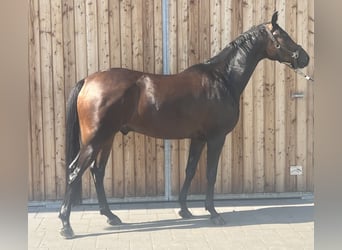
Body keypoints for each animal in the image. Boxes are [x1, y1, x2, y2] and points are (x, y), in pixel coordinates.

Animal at [58, 12, 310, 238]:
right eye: (282, 35)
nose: (305, 57)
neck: (222, 78)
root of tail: (88, 81)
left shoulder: (198, 138)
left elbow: (190, 171)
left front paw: (184, 210)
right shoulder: (216, 138)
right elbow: (210, 173)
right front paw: (214, 214)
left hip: (107, 138)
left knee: (97, 172)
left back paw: (110, 216)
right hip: (94, 140)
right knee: (75, 172)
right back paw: (66, 225)